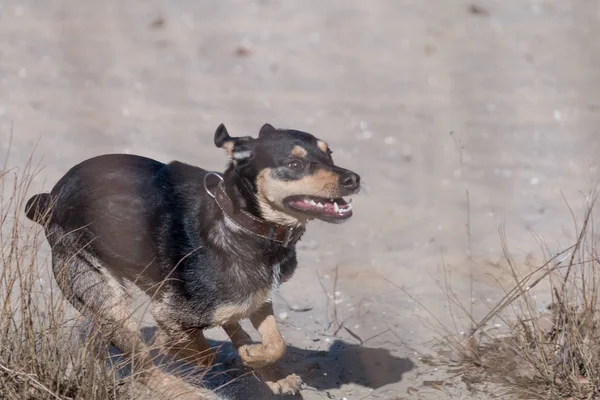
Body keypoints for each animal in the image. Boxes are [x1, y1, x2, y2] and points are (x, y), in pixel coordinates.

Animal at [23, 123, 360, 398]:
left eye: (330, 154)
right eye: (295, 163)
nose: (354, 178)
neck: (241, 219)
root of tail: (50, 197)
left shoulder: (257, 296)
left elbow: (276, 342)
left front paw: (261, 361)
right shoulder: (172, 312)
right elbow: (199, 352)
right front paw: (175, 347)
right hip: (104, 298)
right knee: (144, 367)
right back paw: (181, 388)